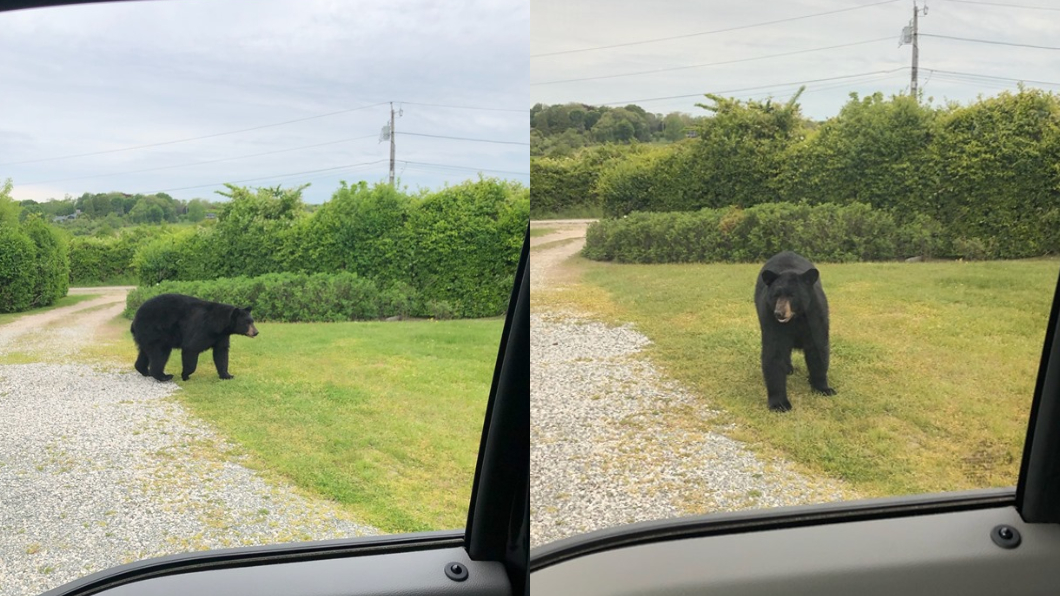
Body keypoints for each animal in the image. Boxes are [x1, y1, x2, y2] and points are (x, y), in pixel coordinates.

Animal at [754, 251, 835, 412]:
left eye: (792, 295)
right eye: (776, 295)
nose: (779, 313)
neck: (796, 318)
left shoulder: (815, 315)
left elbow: (818, 349)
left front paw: (823, 388)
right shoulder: (771, 321)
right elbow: (774, 353)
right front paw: (779, 403)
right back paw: (788, 368)